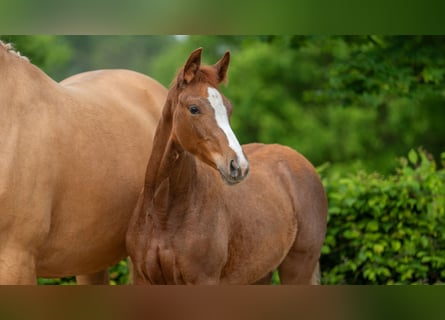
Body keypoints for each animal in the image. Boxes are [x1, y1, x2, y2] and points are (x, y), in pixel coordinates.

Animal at [125, 48, 326, 284]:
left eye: (229, 109)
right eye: (194, 108)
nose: (239, 166)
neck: (163, 214)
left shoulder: (204, 279)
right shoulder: (143, 278)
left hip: (298, 267)